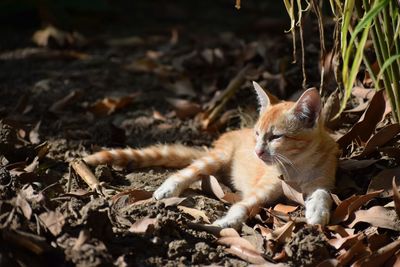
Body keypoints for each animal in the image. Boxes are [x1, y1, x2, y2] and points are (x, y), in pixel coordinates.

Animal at [83, 82, 338, 229]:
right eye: (257, 134)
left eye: (276, 137)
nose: (257, 151)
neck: (296, 166)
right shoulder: (263, 188)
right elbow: (242, 205)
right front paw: (228, 221)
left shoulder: (320, 181)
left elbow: (323, 194)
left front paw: (318, 212)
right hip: (216, 158)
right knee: (186, 172)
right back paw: (169, 188)